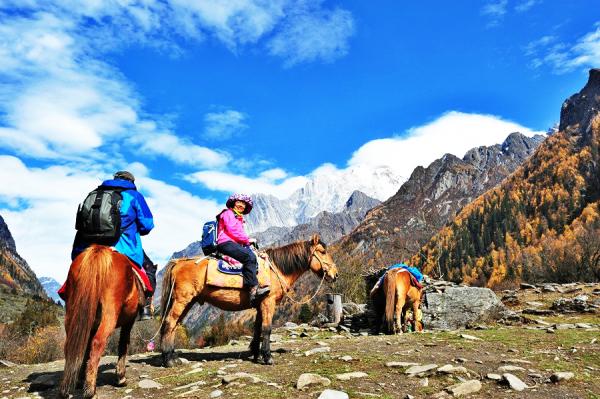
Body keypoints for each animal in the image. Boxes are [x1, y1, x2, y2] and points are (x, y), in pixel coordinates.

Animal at [58, 245, 145, 398]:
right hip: (110, 312)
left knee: (71, 345)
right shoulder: (129, 322)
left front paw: (80, 378)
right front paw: (121, 377)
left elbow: (85, 348)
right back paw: (90, 391)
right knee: (98, 342)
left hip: (72, 312)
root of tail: (98, 250)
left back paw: (67, 388)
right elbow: (123, 344)